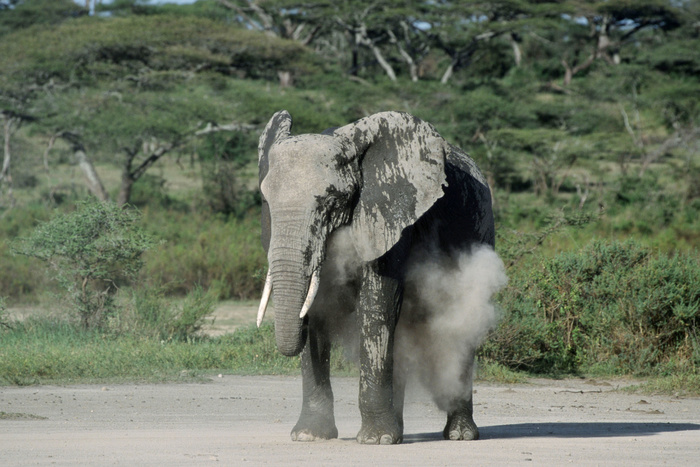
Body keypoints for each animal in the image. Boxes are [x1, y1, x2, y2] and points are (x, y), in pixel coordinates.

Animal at [256, 109, 498, 446]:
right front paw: (308, 436)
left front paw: (375, 440)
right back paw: (399, 431)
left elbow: (377, 306)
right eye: (265, 202)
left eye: (331, 201)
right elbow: (316, 310)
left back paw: (459, 435)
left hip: (479, 221)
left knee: (462, 316)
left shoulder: (387, 215)